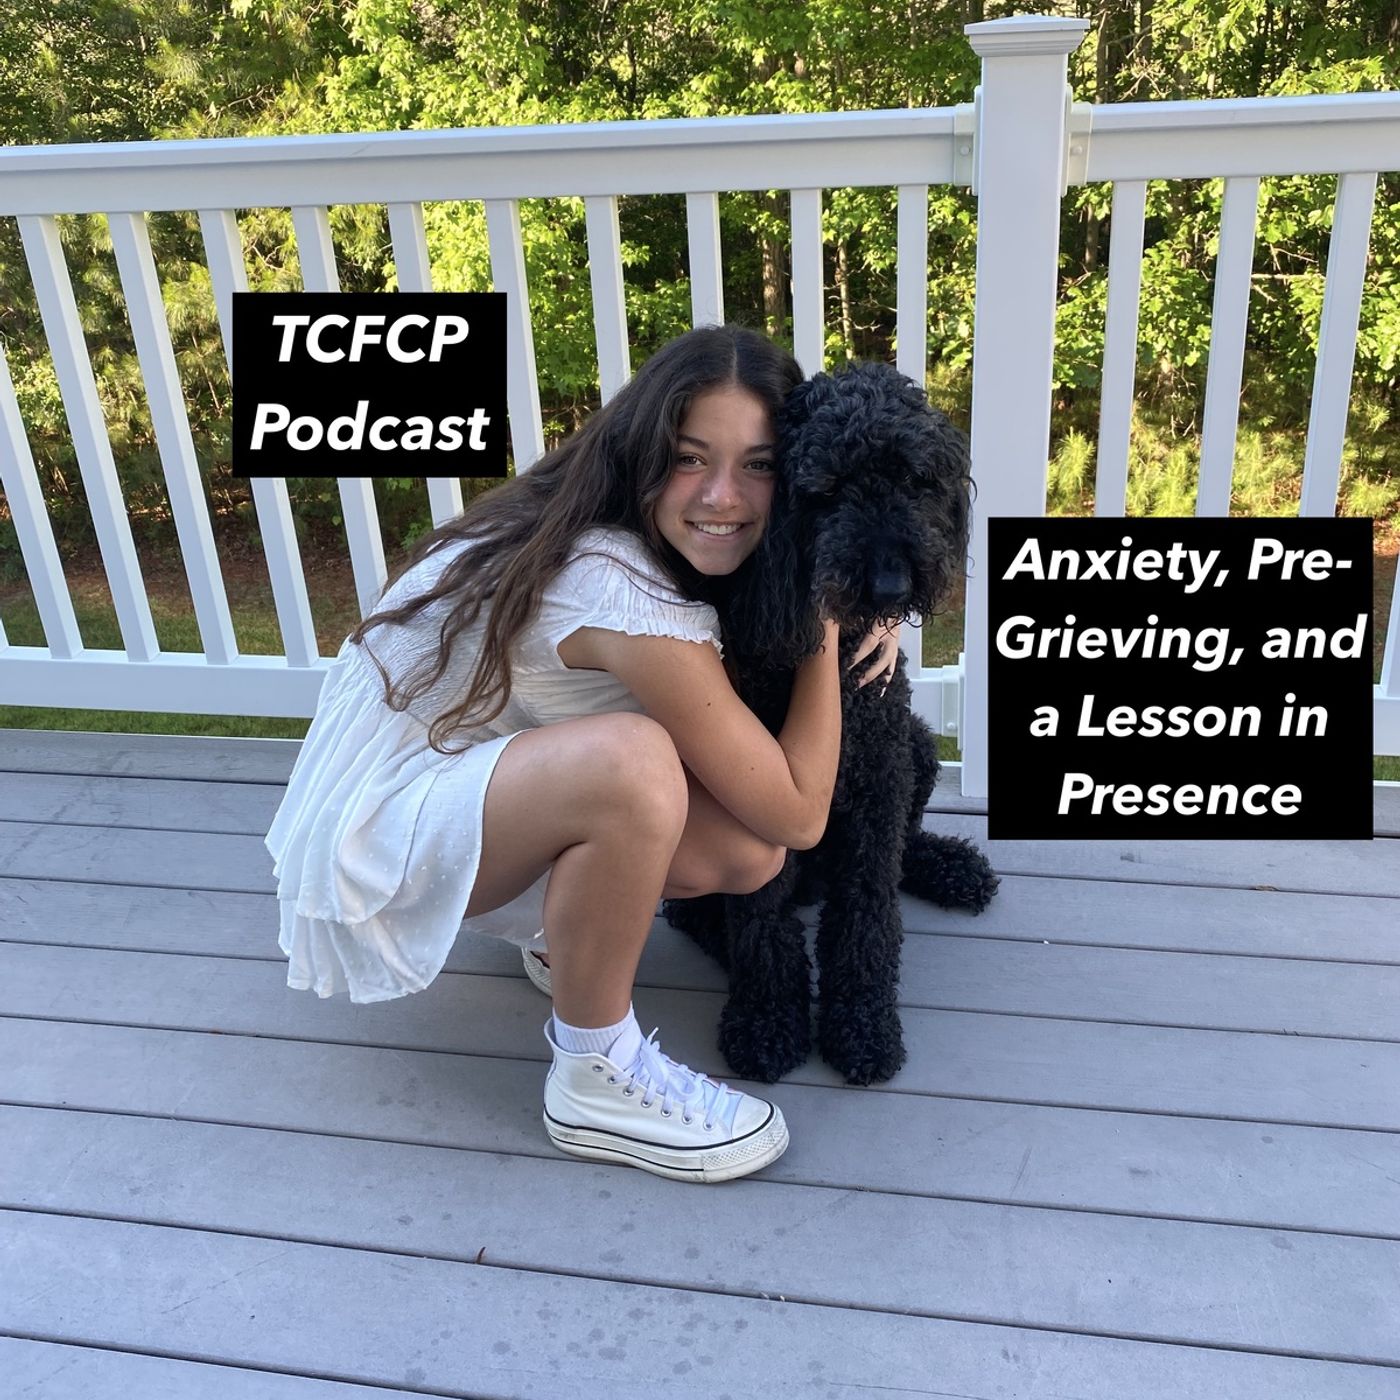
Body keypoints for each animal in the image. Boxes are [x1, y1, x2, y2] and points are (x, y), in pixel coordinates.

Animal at [663, 361, 999, 1086]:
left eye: (915, 479)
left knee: (904, 850)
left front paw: (864, 1024)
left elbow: (868, 909)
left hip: (917, 750)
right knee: (695, 909)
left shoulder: (878, 782)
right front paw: (766, 1019)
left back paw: (950, 868)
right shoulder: (758, 789)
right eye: (829, 489)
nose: (891, 583)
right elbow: (762, 920)